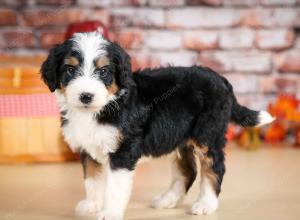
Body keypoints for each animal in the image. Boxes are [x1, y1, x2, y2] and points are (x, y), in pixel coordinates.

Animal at [41, 31, 276, 220]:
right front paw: (91, 205)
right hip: (182, 138)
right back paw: (167, 200)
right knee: (188, 170)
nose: (86, 96)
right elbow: (92, 180)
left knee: (214, 167)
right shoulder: (88, 149)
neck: (103, 106)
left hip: (207, 134)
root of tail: (222, 80)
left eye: (103, 72)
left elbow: (114, 188)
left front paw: (109, 212)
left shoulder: (123, 151)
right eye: (70, 70)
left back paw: (205, 205)